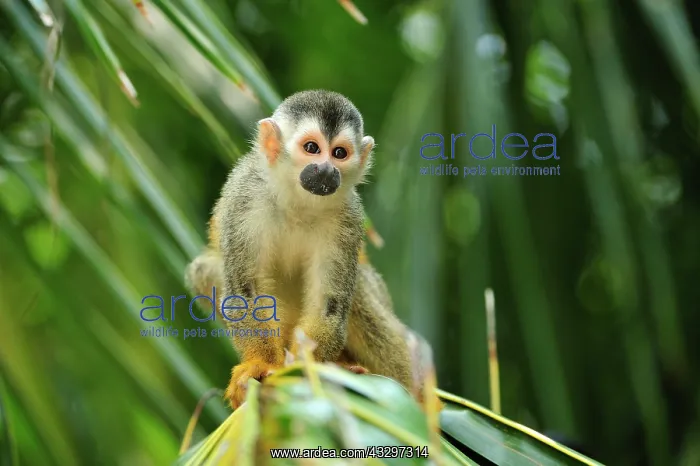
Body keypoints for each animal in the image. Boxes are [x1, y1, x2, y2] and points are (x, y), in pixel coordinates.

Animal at [185, 90, 437, 410]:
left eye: (339, 153)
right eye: (312, 148)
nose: (326, 170)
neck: (298, 201)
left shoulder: (348, 217)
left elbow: (329, 305)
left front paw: (304, 370)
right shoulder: (245, 198)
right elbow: (245, 291)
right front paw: (259, 365)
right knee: (203, 271)